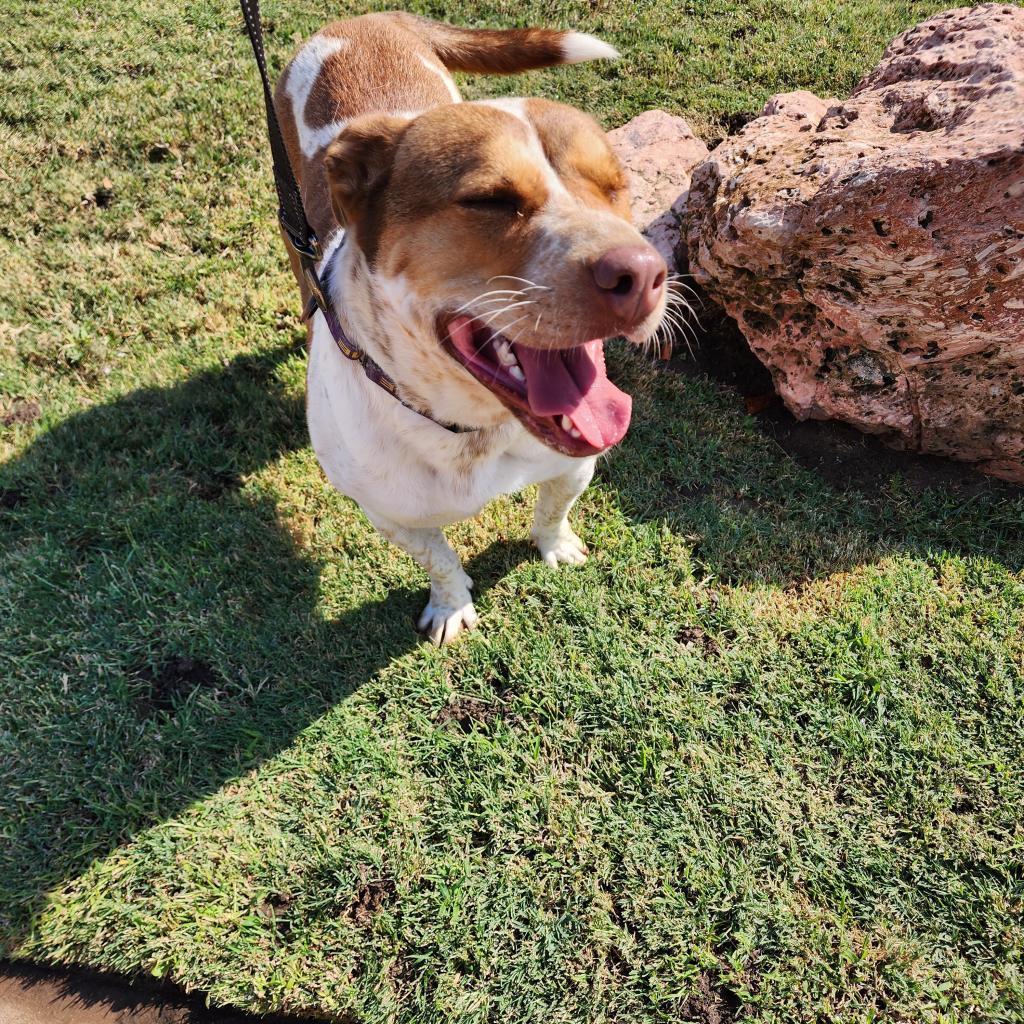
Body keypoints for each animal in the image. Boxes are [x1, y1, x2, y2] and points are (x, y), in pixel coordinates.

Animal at [276, 12, 667, 643]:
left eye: (616, 188)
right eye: (490, 201)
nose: (643, 273)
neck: (474, 428)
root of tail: (364, 18)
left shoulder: (575, 465)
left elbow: (553, 510)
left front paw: (556, 547)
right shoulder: (390, 513)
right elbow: (438, 558)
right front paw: (451, 604)